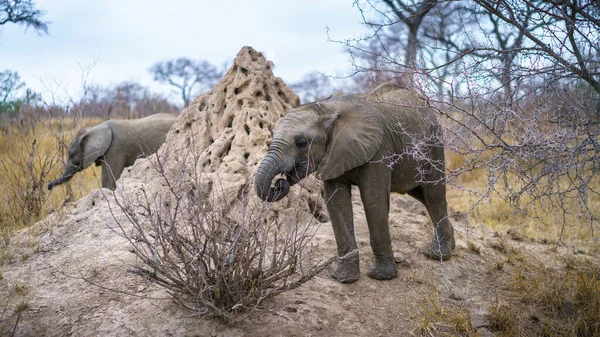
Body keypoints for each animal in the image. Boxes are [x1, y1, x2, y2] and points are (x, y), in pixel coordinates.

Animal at [253, 82, 454, 282]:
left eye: (301, 142)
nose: (279, 183)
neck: (327, 109)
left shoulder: (378, 150)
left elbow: (373, 200)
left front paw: (380, 276)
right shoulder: (333, 155)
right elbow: (337, 203)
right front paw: (343, 277)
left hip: (433, 144)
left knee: (433, 193)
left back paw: (437, 254)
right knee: (421, 194)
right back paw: (448, 246)